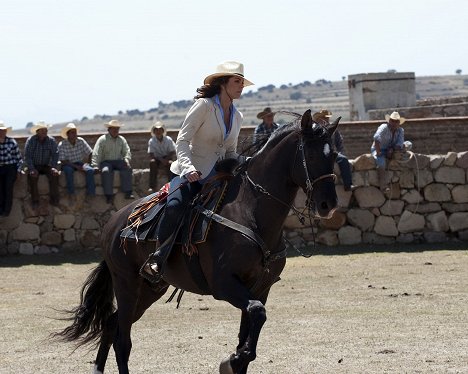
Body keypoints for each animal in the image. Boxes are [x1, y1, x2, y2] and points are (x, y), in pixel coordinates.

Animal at [55, 110, 340, 374]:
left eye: (334, 155)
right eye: (311, 155)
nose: (328, 205)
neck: (250, 210)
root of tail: (114, 224)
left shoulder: (261, 288)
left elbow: (249, 329)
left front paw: (237, 358)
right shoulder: (225, 284)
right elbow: (256, 316)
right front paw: (232, 359)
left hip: (149, 289)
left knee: (111, 324)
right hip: (127, 284)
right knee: (122, 339)